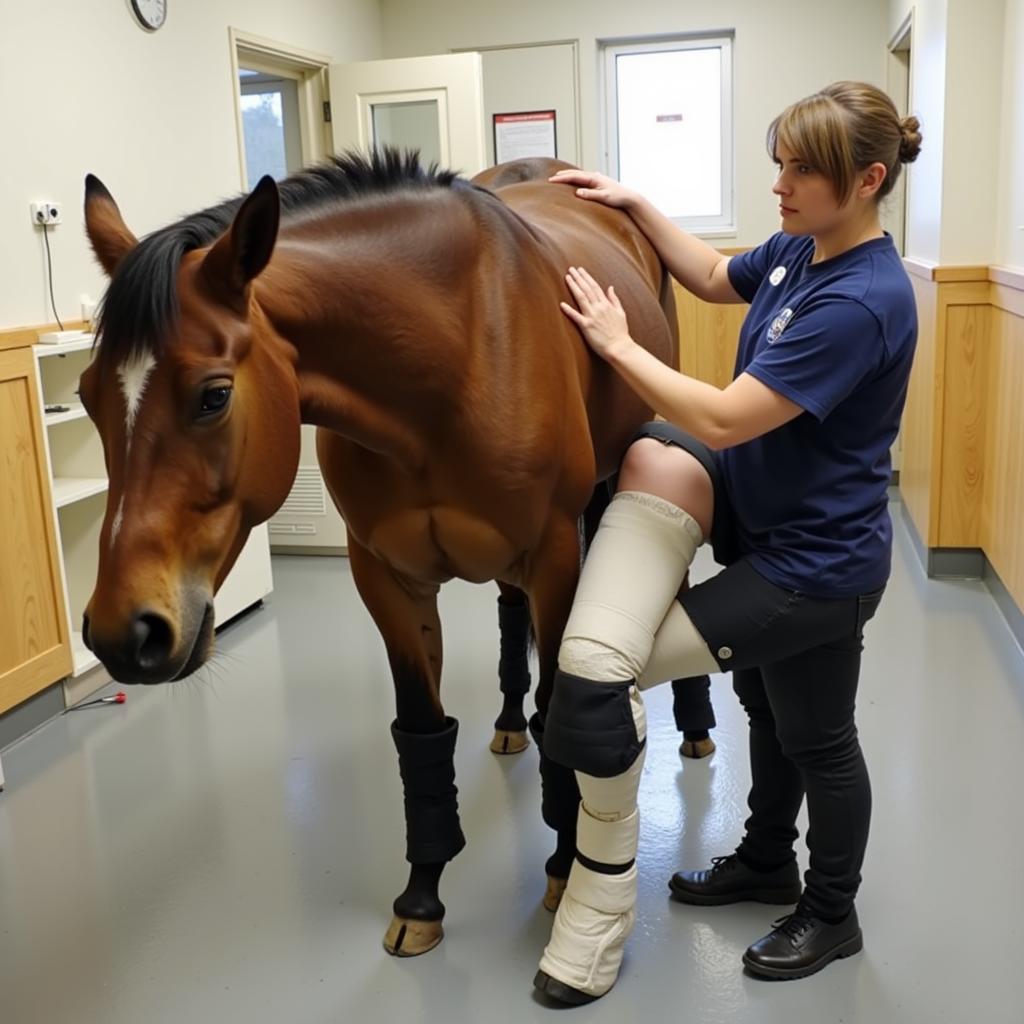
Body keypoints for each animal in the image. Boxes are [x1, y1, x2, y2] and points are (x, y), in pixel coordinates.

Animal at [77, 149, 671, 958]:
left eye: (213, 395)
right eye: (85, 396)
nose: (121, 633)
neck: (454, 357)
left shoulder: (554, 556)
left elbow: (562, 715)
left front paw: (559, 868)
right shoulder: (386, 576)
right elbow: (420, 732)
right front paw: (423, 896)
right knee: (507, 619)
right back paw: (508, 722)